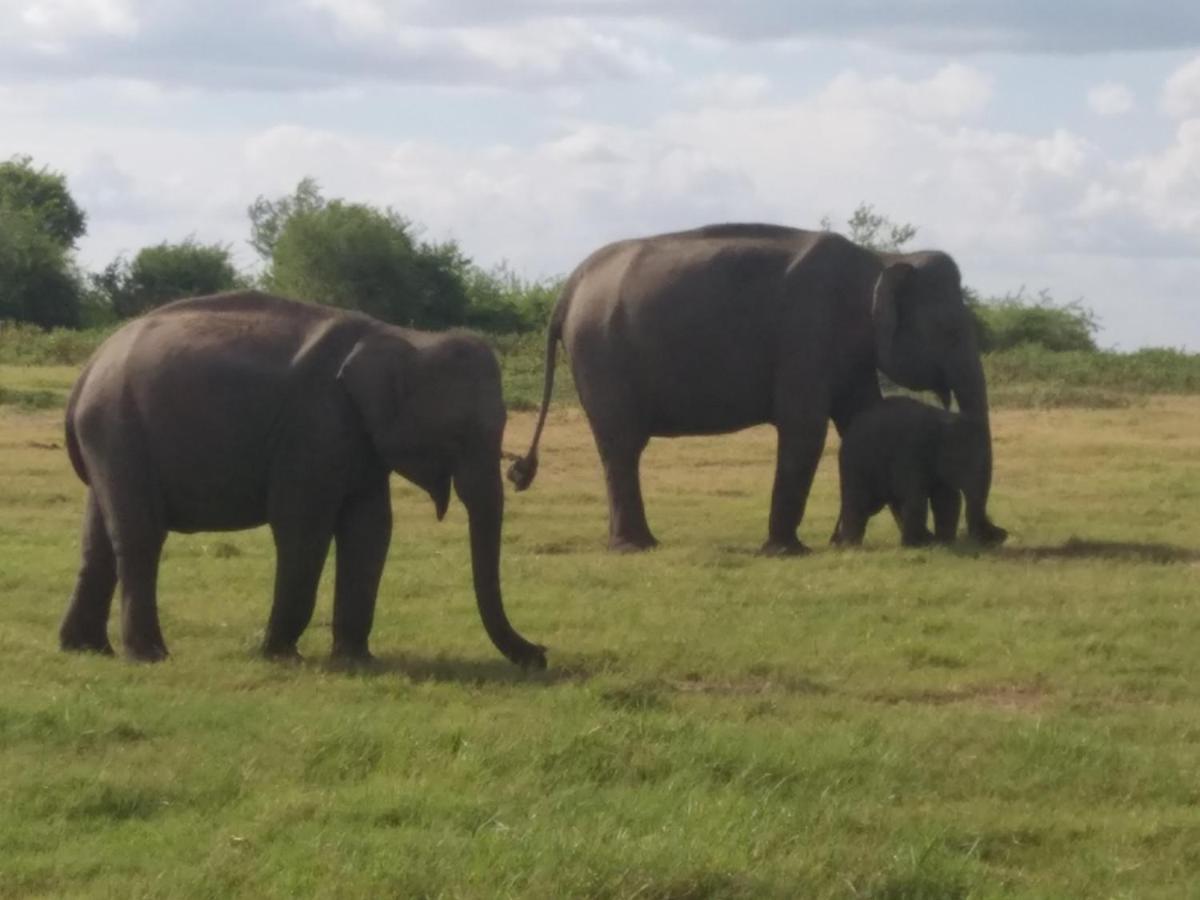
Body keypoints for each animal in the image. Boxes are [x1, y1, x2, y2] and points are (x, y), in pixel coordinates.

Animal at [57, 290, 544, 672]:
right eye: (459, 432)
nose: (540, 654)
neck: (406, 338)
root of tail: (89, 369)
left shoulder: (359, 441)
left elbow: (371, 529)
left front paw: (356, 660)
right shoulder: (316, 426)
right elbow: (303, 526)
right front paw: (280, 655)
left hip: (110, 439)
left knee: (97, 538)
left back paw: (86, 649)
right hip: (119, 428)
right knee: (139, 534)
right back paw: (149, 656)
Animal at [825, 396, 1003, 549]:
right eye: (964, 462)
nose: (1001, 534)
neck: (942, 421)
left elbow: (947, 499)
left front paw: (944, 543)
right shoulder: (910, 453)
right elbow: (916, 497)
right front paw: (914, 546)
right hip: (853, 464)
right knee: (857, 502)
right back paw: (850, 546)